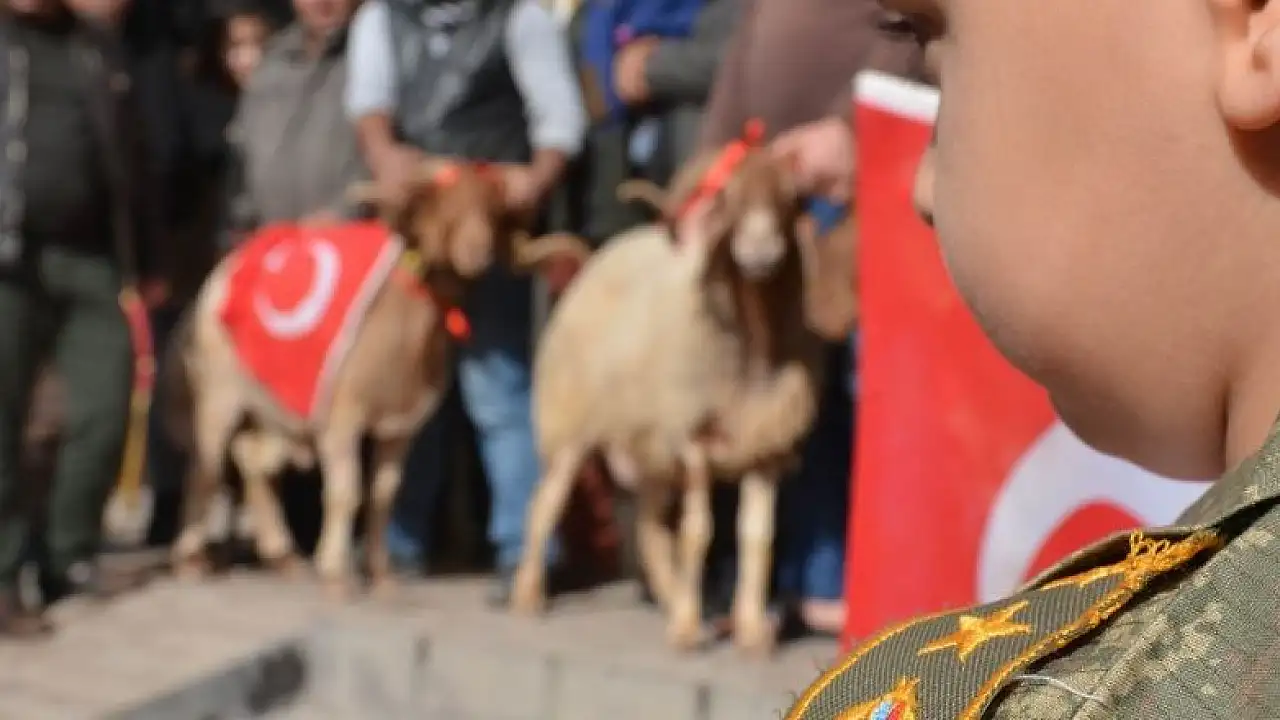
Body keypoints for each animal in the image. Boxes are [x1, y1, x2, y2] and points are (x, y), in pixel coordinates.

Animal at [510, 144, 827, 656]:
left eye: (788, 199)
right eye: (727, 201)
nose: (762, 254)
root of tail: (594, 258)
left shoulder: (765, 450)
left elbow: (757, 539)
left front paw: (751, 632)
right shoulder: (692, 439)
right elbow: (699, 534)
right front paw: (686, 630)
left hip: (651, 451)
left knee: (648, 530)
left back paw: (672, 595)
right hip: (570, 429)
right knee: (544, 506)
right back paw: (529, 595)